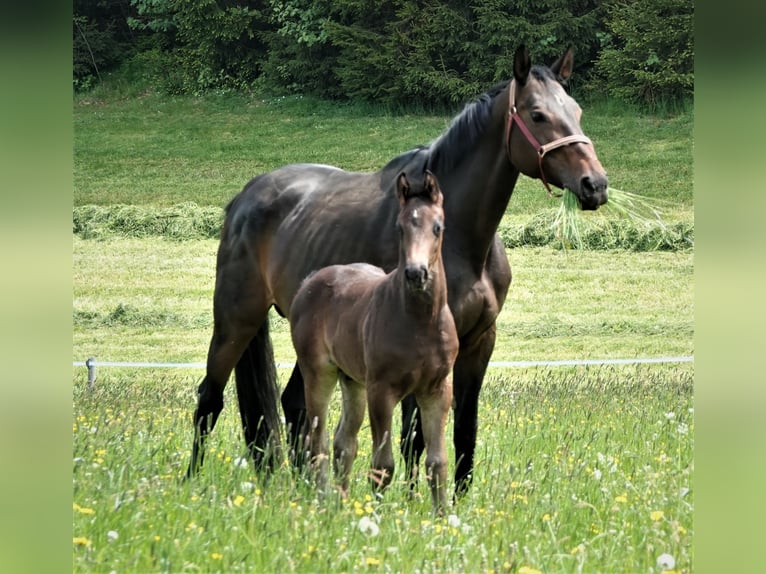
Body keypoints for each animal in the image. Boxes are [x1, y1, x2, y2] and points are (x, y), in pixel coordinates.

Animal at [290, 172, 456, 516]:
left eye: (438, 227)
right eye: (400, 227)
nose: (416, 274)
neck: (420, 322)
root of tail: (310, 281)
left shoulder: (438, 389)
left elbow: (437, 463)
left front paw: (442, 518)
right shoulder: (382, 390)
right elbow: (383, 465)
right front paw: (376, 517)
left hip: (352, 381)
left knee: (344, 443)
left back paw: (341, 503)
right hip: (319, 373)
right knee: (318, 439)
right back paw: (323, 501)